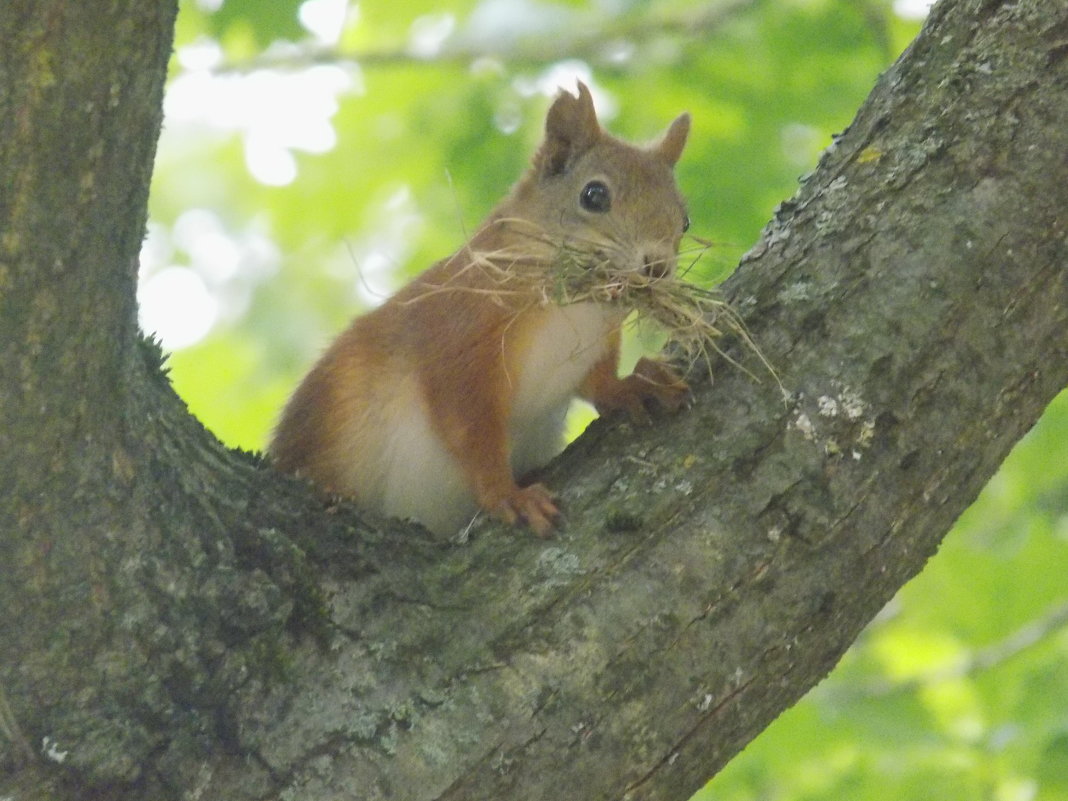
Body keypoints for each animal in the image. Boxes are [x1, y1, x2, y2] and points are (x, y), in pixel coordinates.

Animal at [269, 81, 692, 536]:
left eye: (685, 220)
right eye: (594, 195)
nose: (657, 266)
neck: (574, 311)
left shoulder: (593, 347)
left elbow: (598, 384)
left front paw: (636, 384)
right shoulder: (459, 342)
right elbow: (472, 433)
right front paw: (508, 495)